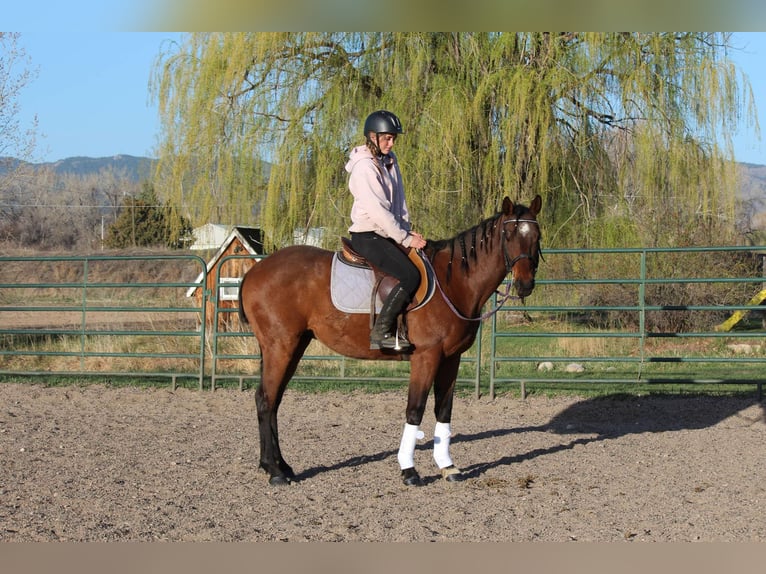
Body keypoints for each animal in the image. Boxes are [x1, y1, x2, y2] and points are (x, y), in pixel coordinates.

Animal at [238, 195, 542, 486]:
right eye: (510, 234)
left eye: (537, 236)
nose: (525, 284)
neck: (453, 281)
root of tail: (254, 271)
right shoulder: (426, 357)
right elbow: (415, 410)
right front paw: (409, 470)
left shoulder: (451, 358)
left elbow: (444, 410)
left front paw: (448, 467)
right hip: (281, 346)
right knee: (266, 399)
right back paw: (274, 471)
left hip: (295, 345)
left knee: (274, 401)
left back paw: (281, 466)